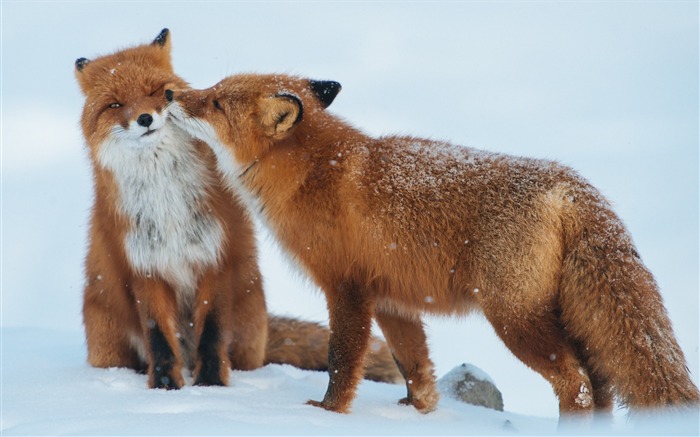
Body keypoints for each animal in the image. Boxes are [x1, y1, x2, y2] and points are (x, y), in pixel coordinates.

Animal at [74, 28, 402, 388]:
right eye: (114, 104)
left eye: (154, 91)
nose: (145, 119)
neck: (167, 201)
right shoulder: (145, 267)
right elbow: (159, 338)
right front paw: (166, 389)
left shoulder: (218, 255)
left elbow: (212, 332)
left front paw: (211, 386)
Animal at [165, 72, 700, 416]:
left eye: (215, 101)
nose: (170, 92)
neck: (313, 174)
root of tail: (569, 184)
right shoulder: (393, 300)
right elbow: (414, 366)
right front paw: (417, 412)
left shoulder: (347, 288)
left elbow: (343, 361)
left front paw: (326, 413)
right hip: (561, 318)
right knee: (601, 385)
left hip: (514, 319)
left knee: (580, 385)